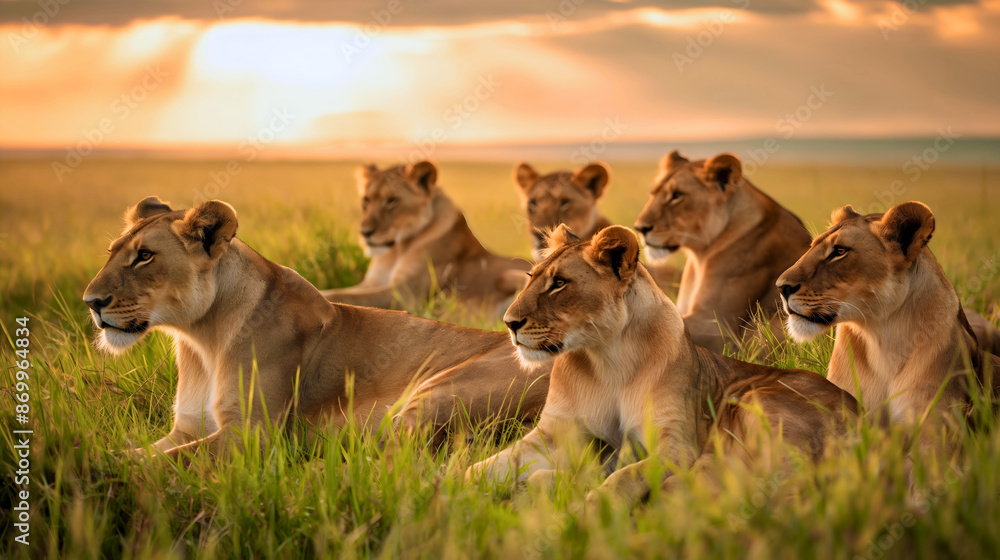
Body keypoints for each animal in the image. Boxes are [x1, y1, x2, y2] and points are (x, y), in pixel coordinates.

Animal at [83, 197, 550, 460]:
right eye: (111, 253)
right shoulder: (185, 429)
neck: (200, 339)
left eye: (145, 256)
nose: (90, 302)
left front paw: (100, 471)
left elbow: (153, 463)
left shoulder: (253, 434)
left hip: (435, 392)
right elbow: (138, 451)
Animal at [321, 161, 531, 319]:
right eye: (366, 200)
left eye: (392, 201)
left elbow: (345, 296)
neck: (397, 250)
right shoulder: (371, 282)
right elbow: (341, 290)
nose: (365, 232)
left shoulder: (405, 294)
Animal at [466, 225, 857, 508]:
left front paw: (590, 511)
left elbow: (624, 477)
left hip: (754, 408)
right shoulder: (554, 434)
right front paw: (453, 492)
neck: (606, 359)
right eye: (530, 277)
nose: (509, 323)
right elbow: (485, 466)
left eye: (559, 283)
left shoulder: (677, 444)